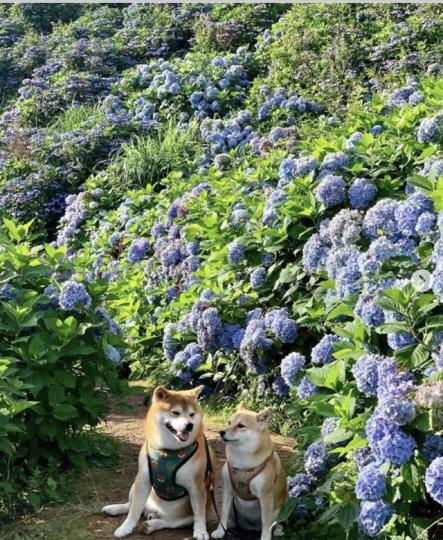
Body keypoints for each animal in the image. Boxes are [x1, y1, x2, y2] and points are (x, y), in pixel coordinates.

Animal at [103, 386, 217, 536]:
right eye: (175, 413)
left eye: (192, 414)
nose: (190, 425)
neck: (168, 450)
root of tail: (152, 512)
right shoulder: (143, 479)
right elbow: (134, 511)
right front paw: (125, 527)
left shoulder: (196, 485)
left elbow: (199, 514)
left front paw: (201, 531)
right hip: (135, 486)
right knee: (131, 506)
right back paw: (114, 509)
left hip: (184, 516)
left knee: (169, 522)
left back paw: (151, 525)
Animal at [212, 404, 288, 540]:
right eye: (229, 422)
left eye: (240, 425)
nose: (221, 432)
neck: (242, 462)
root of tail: (251, 527)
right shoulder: (228, 489)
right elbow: (223, 513)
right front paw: (220, 531)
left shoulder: (266, 495)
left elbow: (266, 522)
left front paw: (265, 537)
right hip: (234, 509)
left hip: (280, 510)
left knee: (276, 524)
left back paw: (278, 531)